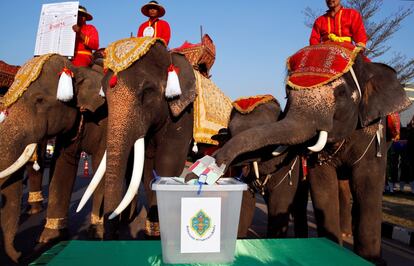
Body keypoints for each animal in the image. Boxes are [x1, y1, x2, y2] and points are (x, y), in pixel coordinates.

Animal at [0, 54, 106, 264]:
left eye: (40, 99)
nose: (19, 254)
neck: (77, 68)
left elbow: (102, 164)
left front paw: (97, 234)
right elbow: (61, 165)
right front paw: (49, 237)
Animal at [213, 43, 410, 264]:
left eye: (341, 93)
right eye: (287, 93)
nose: (216, 160)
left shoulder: (373, 131)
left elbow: (367, 182)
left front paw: (368, 259)